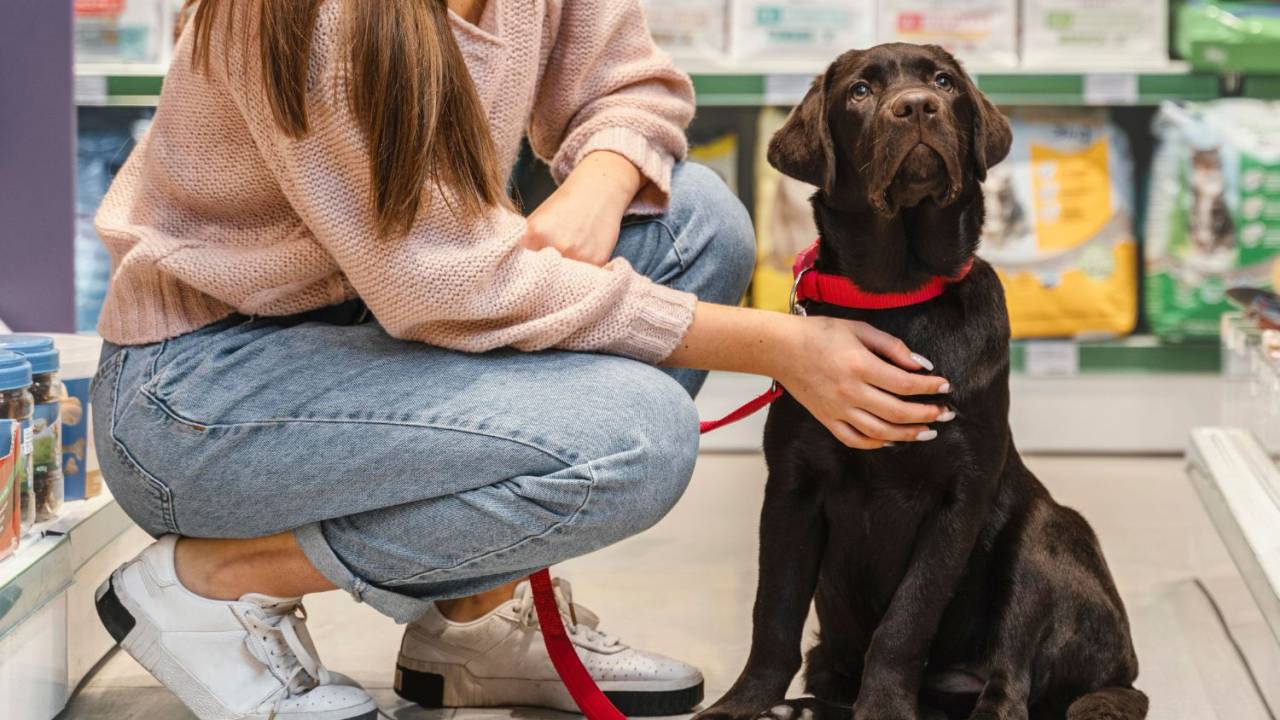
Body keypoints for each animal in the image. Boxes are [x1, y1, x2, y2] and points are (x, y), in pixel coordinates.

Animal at [696, 43, 1146, 717]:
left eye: (944, 82)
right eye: (859, 91)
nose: (916, 107)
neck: (897, 297)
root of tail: (1124, 670)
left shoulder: (958, 496)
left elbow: (905, 621)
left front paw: (882, 708)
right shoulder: (792, 488)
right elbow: (772, 613)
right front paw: (744, 703)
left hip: (1045, 535)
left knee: (1010, 684)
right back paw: (801, 705)